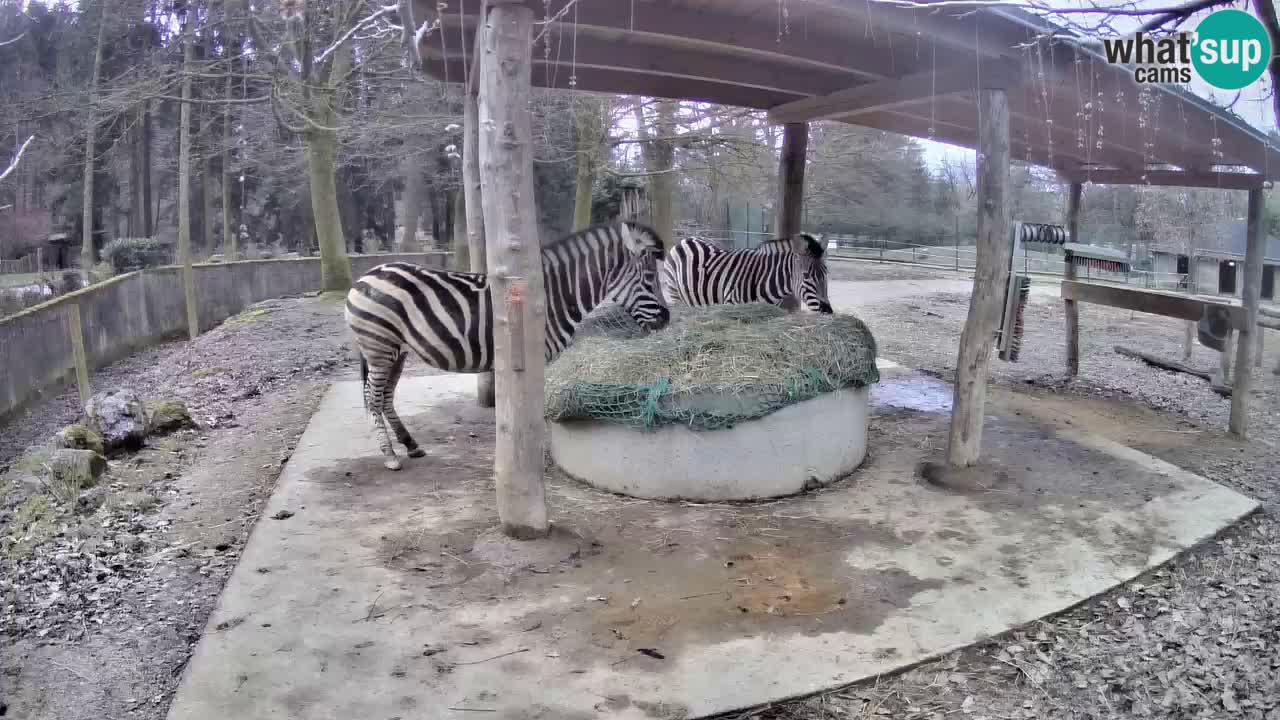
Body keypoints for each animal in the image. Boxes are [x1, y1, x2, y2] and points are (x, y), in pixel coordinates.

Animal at [345, 221, 675, 468]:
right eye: (649, 278)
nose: (667, 320)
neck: (555, 295)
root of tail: (365, 276)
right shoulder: (538, 356)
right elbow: (536, 410)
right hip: (379, 347)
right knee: (373, 398)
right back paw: (390, 456)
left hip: (396, 350)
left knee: (386, 397)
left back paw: (411, 445)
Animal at [665, 233, 834, 311]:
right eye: (806, 276)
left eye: (826, 274)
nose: (828, 311)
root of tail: (685, 239)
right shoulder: (731, 305)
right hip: (674, 294)